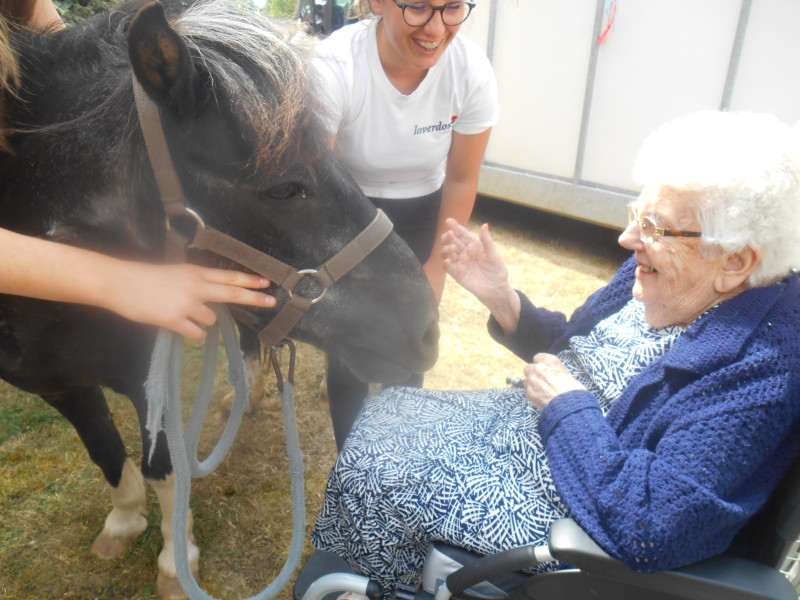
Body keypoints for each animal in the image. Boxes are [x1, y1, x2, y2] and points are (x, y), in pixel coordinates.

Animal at [0, 2, 438, 596]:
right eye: (283, 187)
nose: (428, 329)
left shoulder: (147, 374)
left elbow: (162, 464)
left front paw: (174, 560)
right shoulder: (55, 382)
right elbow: (105, 449)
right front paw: (124, 520)